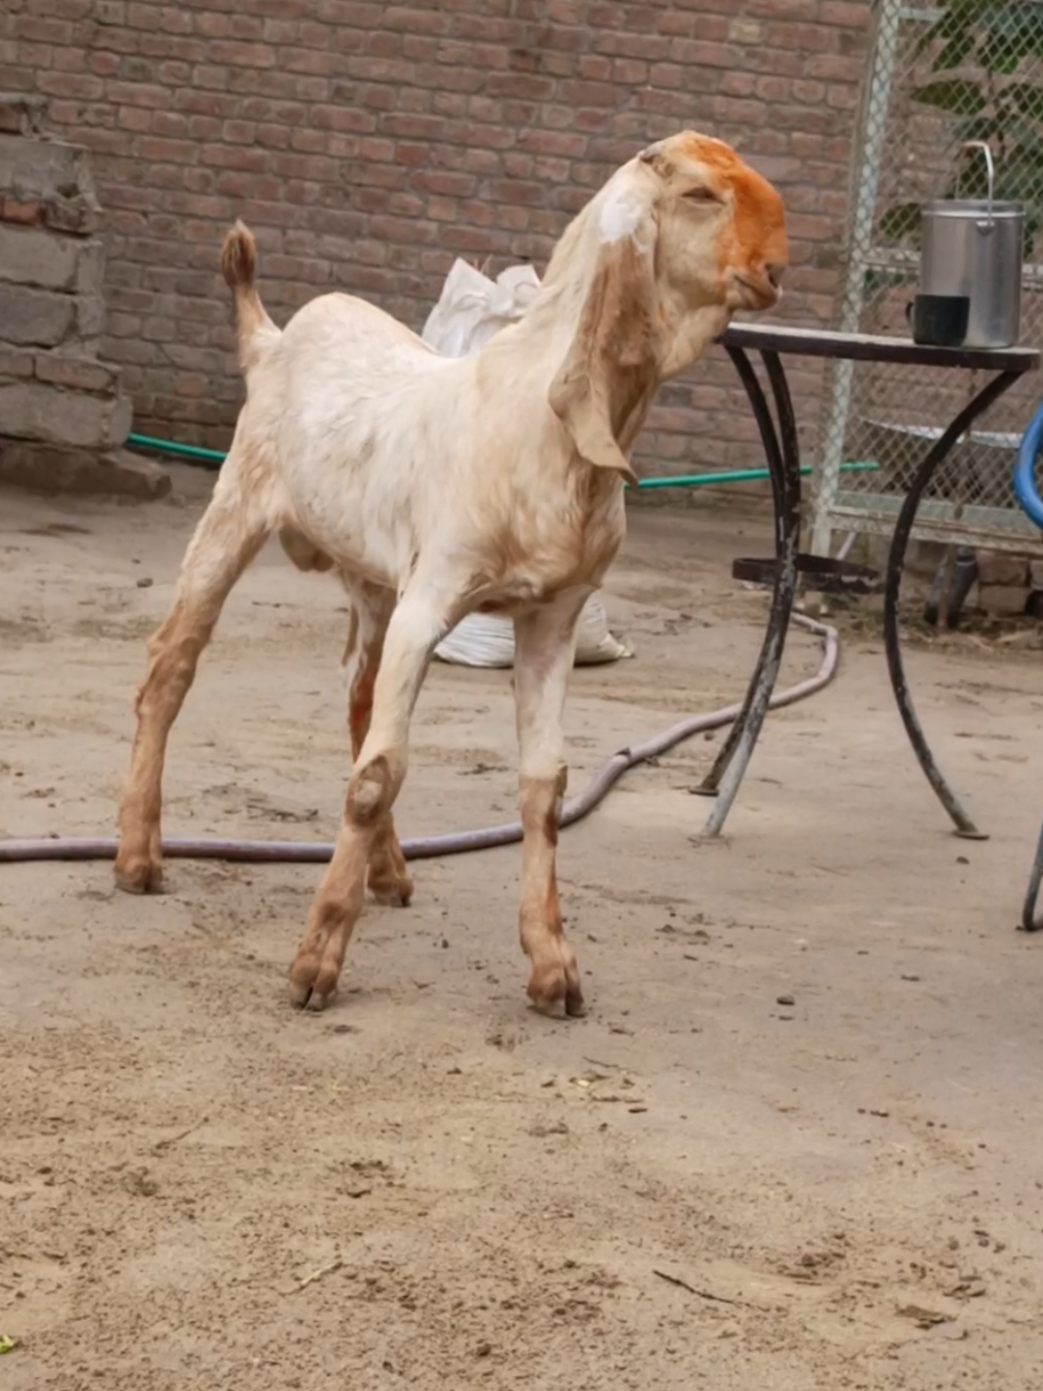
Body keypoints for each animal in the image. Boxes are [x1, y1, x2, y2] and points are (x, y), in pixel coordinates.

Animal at [114, 131, 788, 1016]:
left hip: (373, 580)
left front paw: (552, 965)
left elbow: (543, 783)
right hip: (235, 510)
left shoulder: (551, 615)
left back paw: (389, 871)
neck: (540, 421)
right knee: (171, 665)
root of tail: (270, 339)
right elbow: (378, 774)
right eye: (701, 194)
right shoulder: (434, 594)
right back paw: (137, 855)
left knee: (360, 701)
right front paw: (315, 962)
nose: (777, 266)